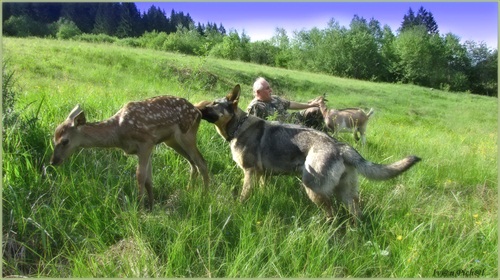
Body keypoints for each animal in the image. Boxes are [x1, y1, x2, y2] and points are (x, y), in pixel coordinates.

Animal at [196, 84, 422, 222]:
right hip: (346, 195)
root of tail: (341, 147)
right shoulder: (262, 175)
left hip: (313, 188)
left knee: (332, 214)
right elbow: (261, 190)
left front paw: (238, 208)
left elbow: (243, 196)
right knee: (355, 213)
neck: (238, 126)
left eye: (213, 104)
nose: (197, 107)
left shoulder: (250, 173)